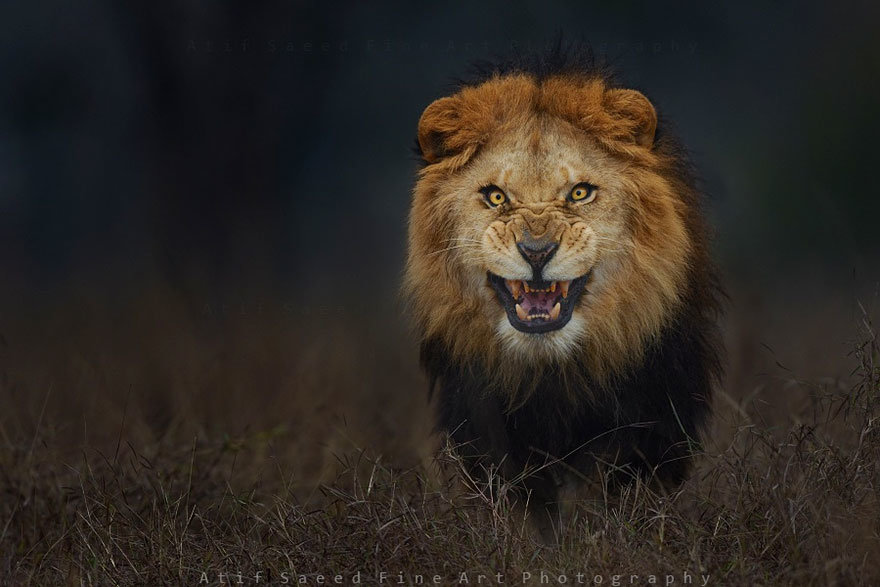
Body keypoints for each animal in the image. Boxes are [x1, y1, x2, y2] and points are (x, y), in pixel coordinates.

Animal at [404, 48, 723, 537]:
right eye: (496, 197)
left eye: (579, 192)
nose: (536, 251)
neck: (551, 371)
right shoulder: (486, 429)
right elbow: (525, 513)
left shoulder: (650, 424)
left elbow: (612, 503)